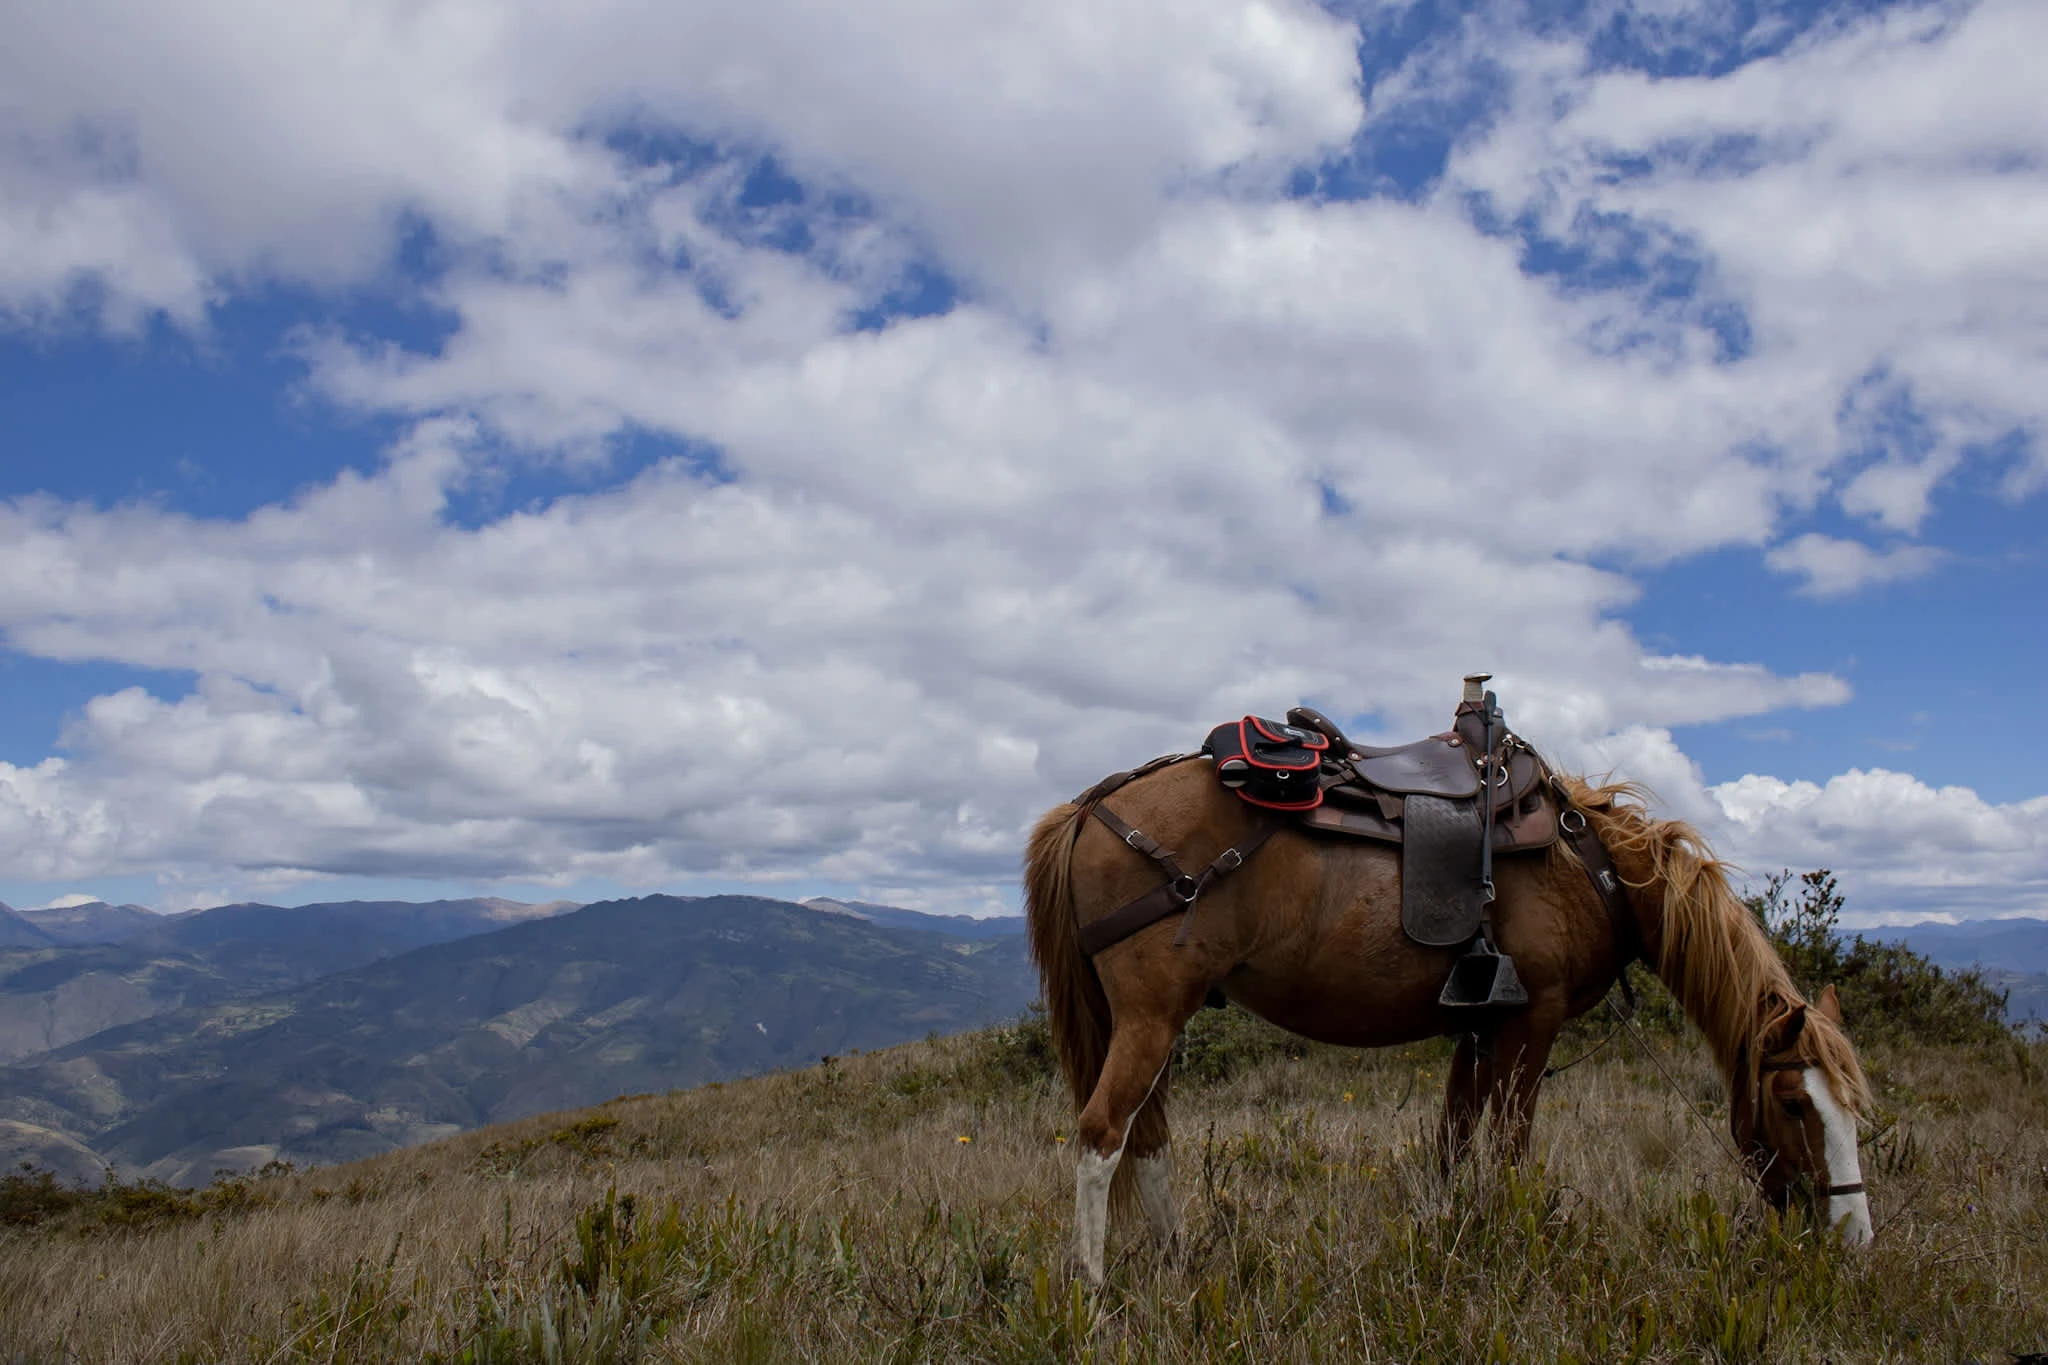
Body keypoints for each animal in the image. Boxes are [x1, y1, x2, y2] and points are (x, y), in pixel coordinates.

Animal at [1024, 765, 1875, 1285]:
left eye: (1855, 1111)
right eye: (1793, 1103)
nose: (1855, 1238)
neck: (1592, 864)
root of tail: (1092, 805)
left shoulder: (1477, 1028)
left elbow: (1454, 1144)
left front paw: (1451, 1238)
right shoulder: (1532, 1020)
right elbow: (1509, 1149)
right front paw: (1511, 1245)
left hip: (1158, 1021)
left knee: (1148, 1137)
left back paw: (1176, 1259)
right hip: (1150, 1017)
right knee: (1102, 1133)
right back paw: (1092, 1285)